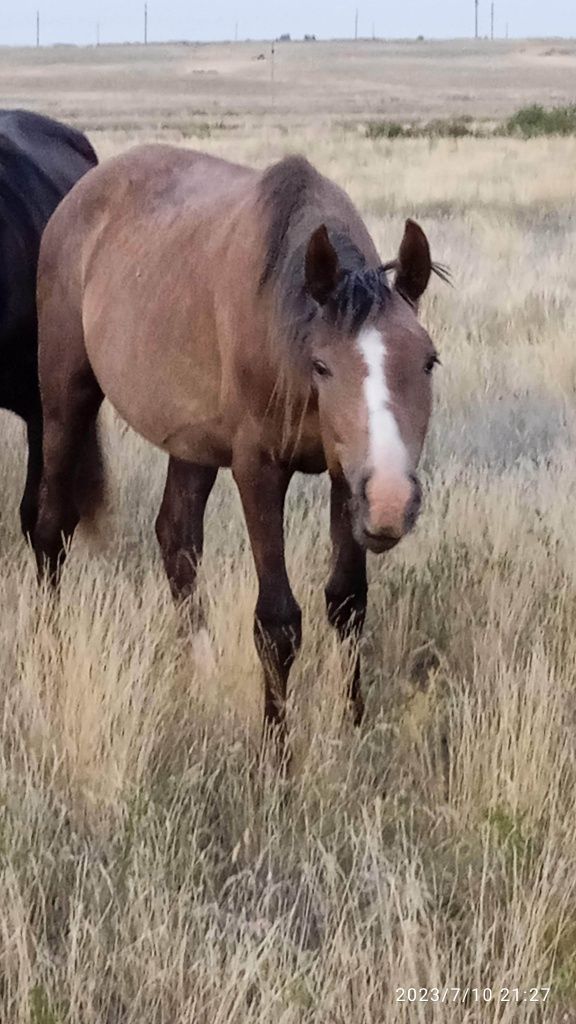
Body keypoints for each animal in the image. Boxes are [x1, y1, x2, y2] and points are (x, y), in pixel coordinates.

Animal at [33, 148, 440, 745]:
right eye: (323, 365)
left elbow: (348, 600)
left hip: (192, 442)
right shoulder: (258, 470)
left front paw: (354, 729)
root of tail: (79, 194)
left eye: (428, 361)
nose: (391, 502)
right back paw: (52, 658)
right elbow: (277, 621)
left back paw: (200, 675)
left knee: (177, 540)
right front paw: (277, 751)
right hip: (66, 399)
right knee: (51, 529)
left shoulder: (344, 475)